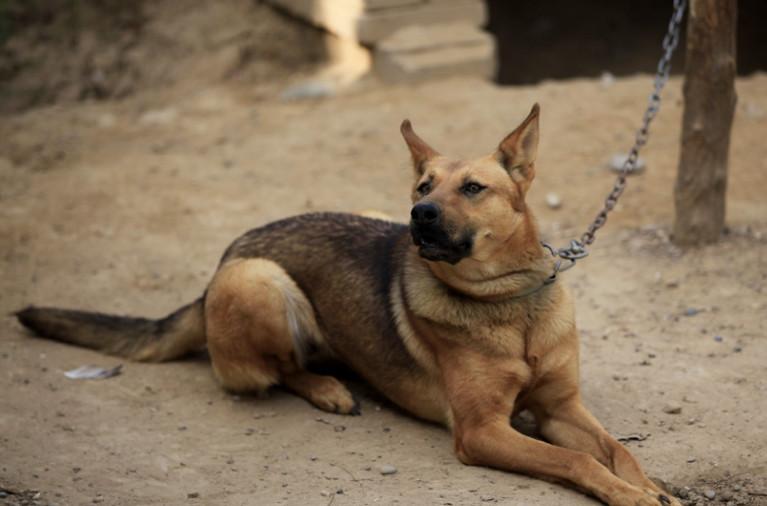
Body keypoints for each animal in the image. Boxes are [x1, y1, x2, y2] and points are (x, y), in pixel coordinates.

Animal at [16, 105, 680, 504]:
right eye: (423, 186)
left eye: (472, 188)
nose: (419, 214)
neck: (506, 304)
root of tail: (223, 262)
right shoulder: (482, 431)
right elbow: (574, 463)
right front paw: (629, 493)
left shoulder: (561, 408)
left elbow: (617, 449)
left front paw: (651, 486)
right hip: (259, 281)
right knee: (278, 369)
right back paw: (328, 388)